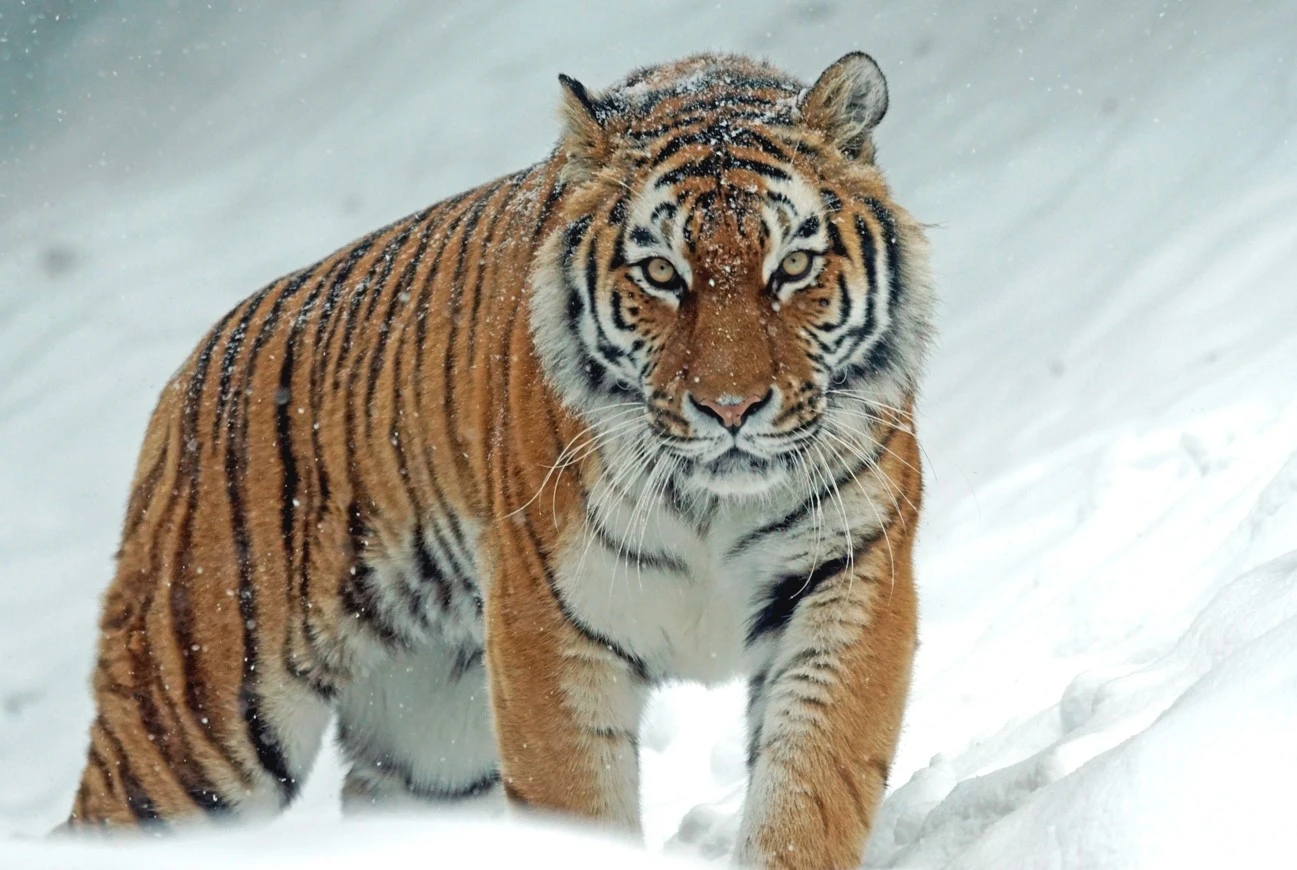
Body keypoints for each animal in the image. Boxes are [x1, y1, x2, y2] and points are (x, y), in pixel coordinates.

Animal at [65, 51, 933, 866]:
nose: (728, 409)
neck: (711, 502)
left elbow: (809, 790)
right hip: (192, 724)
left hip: (432, 747)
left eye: (793, 266)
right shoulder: (546, 631)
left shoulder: (848, 582)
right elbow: (578, 809)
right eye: (661, 273)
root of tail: (187, 376)